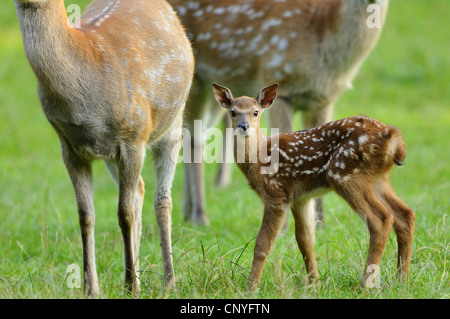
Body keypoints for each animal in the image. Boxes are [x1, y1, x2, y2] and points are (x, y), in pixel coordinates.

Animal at [13, 0, 193, 298]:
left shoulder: (133, 135)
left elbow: (124, 214)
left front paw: (130, 286)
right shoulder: (69, 146)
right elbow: (85, 216)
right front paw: (91, 288)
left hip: (172, 123)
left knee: (162, 199)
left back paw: (169, 281)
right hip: (112, 155)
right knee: (140, 189)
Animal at [169, 0, 390, 225]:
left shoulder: (322, 100)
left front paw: (320, 224)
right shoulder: (279, 82)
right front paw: (286, 225)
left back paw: (187, 213)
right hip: (194, 80)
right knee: (194, 138)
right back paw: (200, 216)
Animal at [213, 84, 416, 290]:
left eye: (255, 112)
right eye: (233, 112)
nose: (243, 126)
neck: (260, 158)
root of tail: (395, 140)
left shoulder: (276, 195)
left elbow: (263, 244)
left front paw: (251, 287)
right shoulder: (300, 198)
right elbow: (305, 240)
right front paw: (314, 283)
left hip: (345, 175)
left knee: (380, 220)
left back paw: (366, 284)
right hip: (377, 179)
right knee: (405, 215)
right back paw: (402, 280)